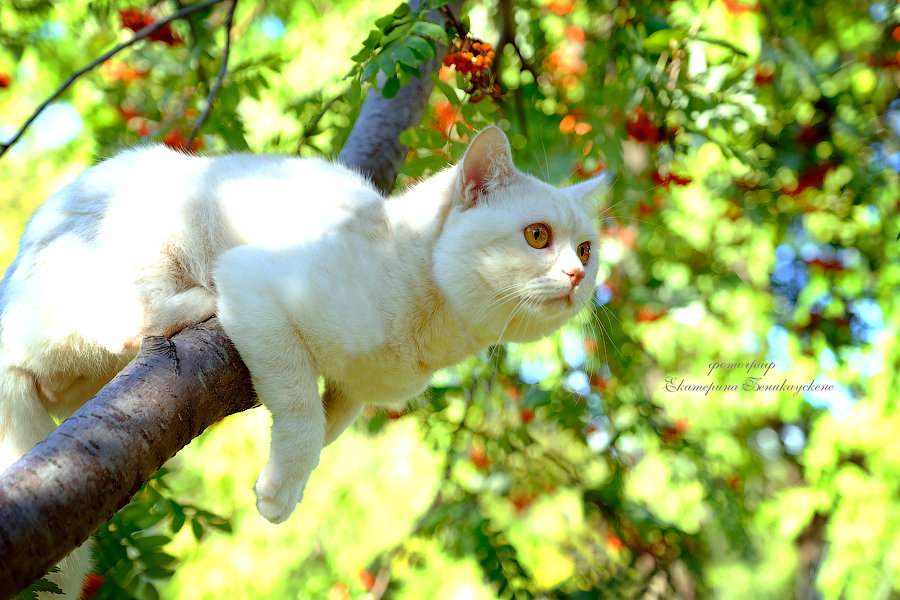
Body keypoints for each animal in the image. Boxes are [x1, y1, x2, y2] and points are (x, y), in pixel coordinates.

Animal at [1, 126, 604, 596]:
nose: (579, 276)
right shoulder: (256, 283)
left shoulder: (360, 389)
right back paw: (197, 301)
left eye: (587, 249)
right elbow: (302, 412)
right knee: (114, 319)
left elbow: (332, 423)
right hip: (149, 237)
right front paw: (280, 490)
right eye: (537, 235)